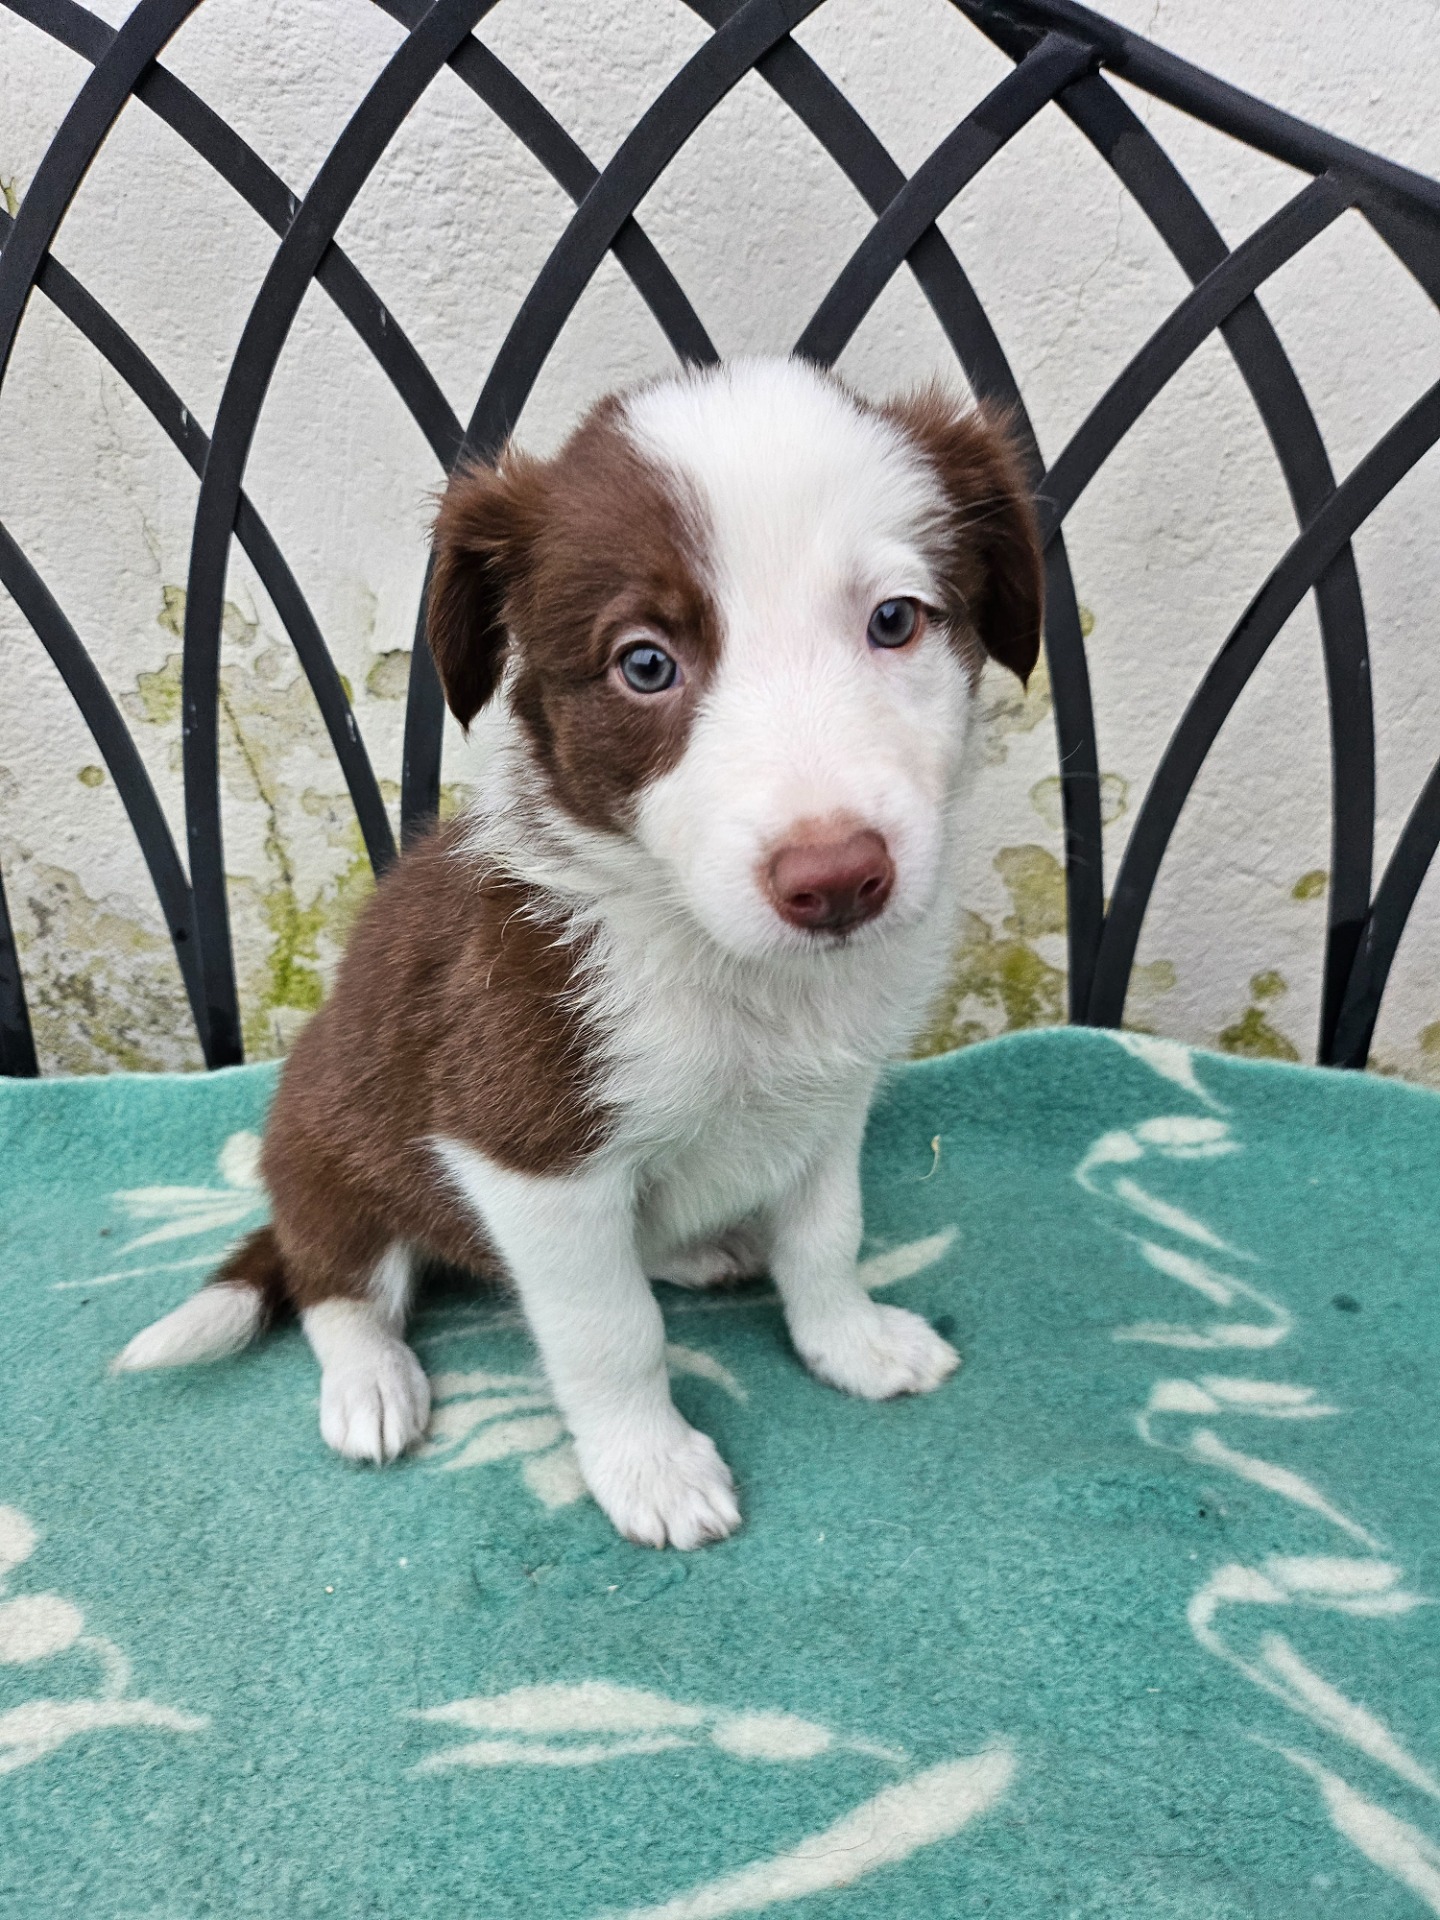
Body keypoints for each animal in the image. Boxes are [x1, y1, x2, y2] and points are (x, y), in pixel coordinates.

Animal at [115, 356, 1043, 1550]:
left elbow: (827, 1238)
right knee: (339, 1285)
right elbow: (612, 1332)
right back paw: (371, 1381)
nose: (836, 880)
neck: (723, 962)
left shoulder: (831, 1106)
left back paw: (697, 1248)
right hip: (328, 1151)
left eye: (896, 621)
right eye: (645, 664)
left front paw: (851, 1341)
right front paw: (649, 1466)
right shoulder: (525, 1152)